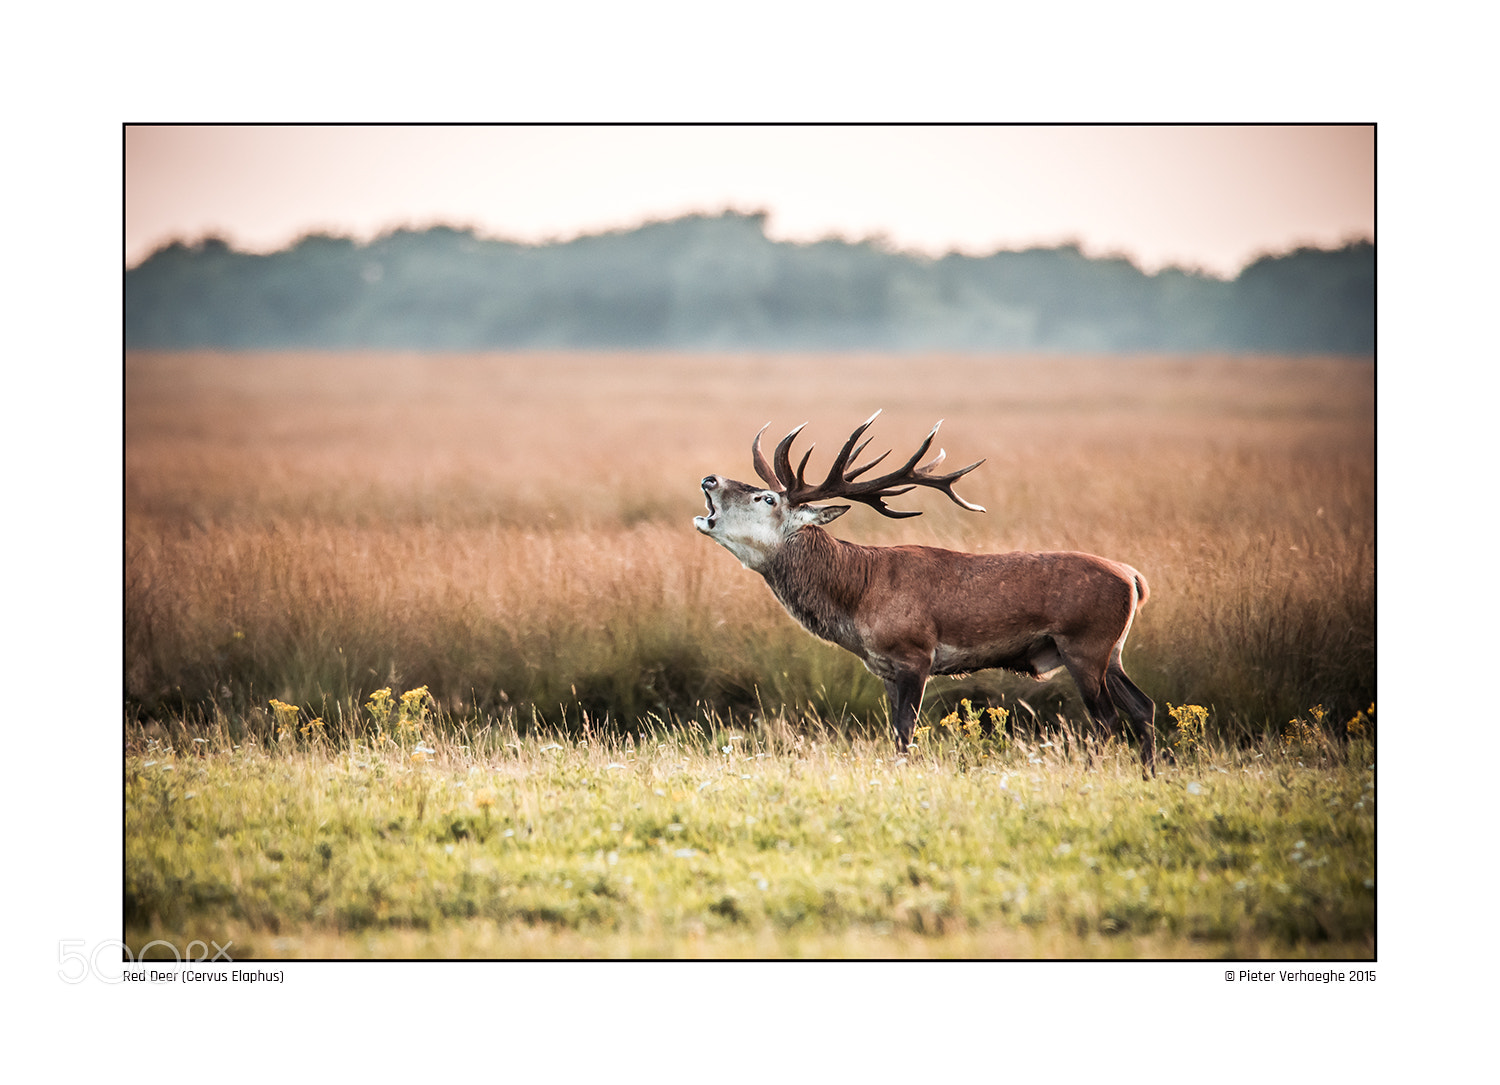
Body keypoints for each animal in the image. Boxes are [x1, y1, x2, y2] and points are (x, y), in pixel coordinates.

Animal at [693, 410, 1157, 776]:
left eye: (765, 498)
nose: (709, 478)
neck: (858, 597)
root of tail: (1133, 577)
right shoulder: (883, 667)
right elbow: (895, 731)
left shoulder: (915, 652)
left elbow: (905, 733)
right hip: (1111, 651)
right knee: (1143, 706)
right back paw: (1150, 775)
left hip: (1084, 643)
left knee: (1106, 718)